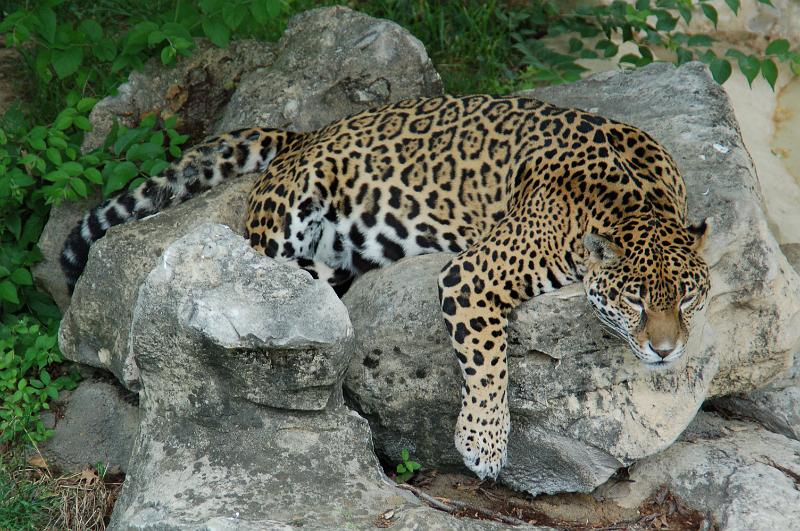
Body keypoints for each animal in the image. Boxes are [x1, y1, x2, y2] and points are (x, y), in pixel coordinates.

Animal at [61, 94, 711, 481]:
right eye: (633, 298)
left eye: (686, 297)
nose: (664, 351)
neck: (636, 202)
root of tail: (304, 132)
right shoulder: (473, 274)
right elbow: (489, 362)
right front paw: (483, 444)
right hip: (287, 218)